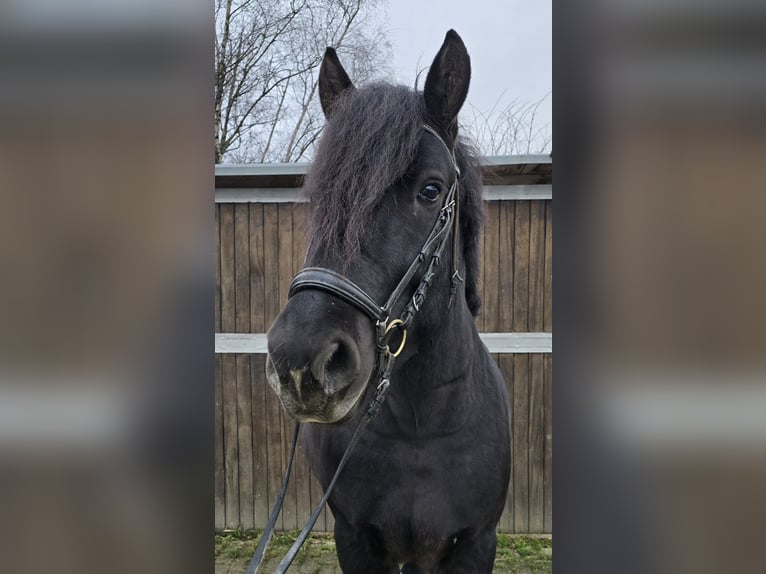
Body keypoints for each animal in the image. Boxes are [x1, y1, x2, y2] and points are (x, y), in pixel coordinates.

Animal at [268, 30, 512, 574]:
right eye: (321, 198)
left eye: (431, 189)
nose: (301, 361)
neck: (421, 428)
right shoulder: (355, 539)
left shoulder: (476, 542)